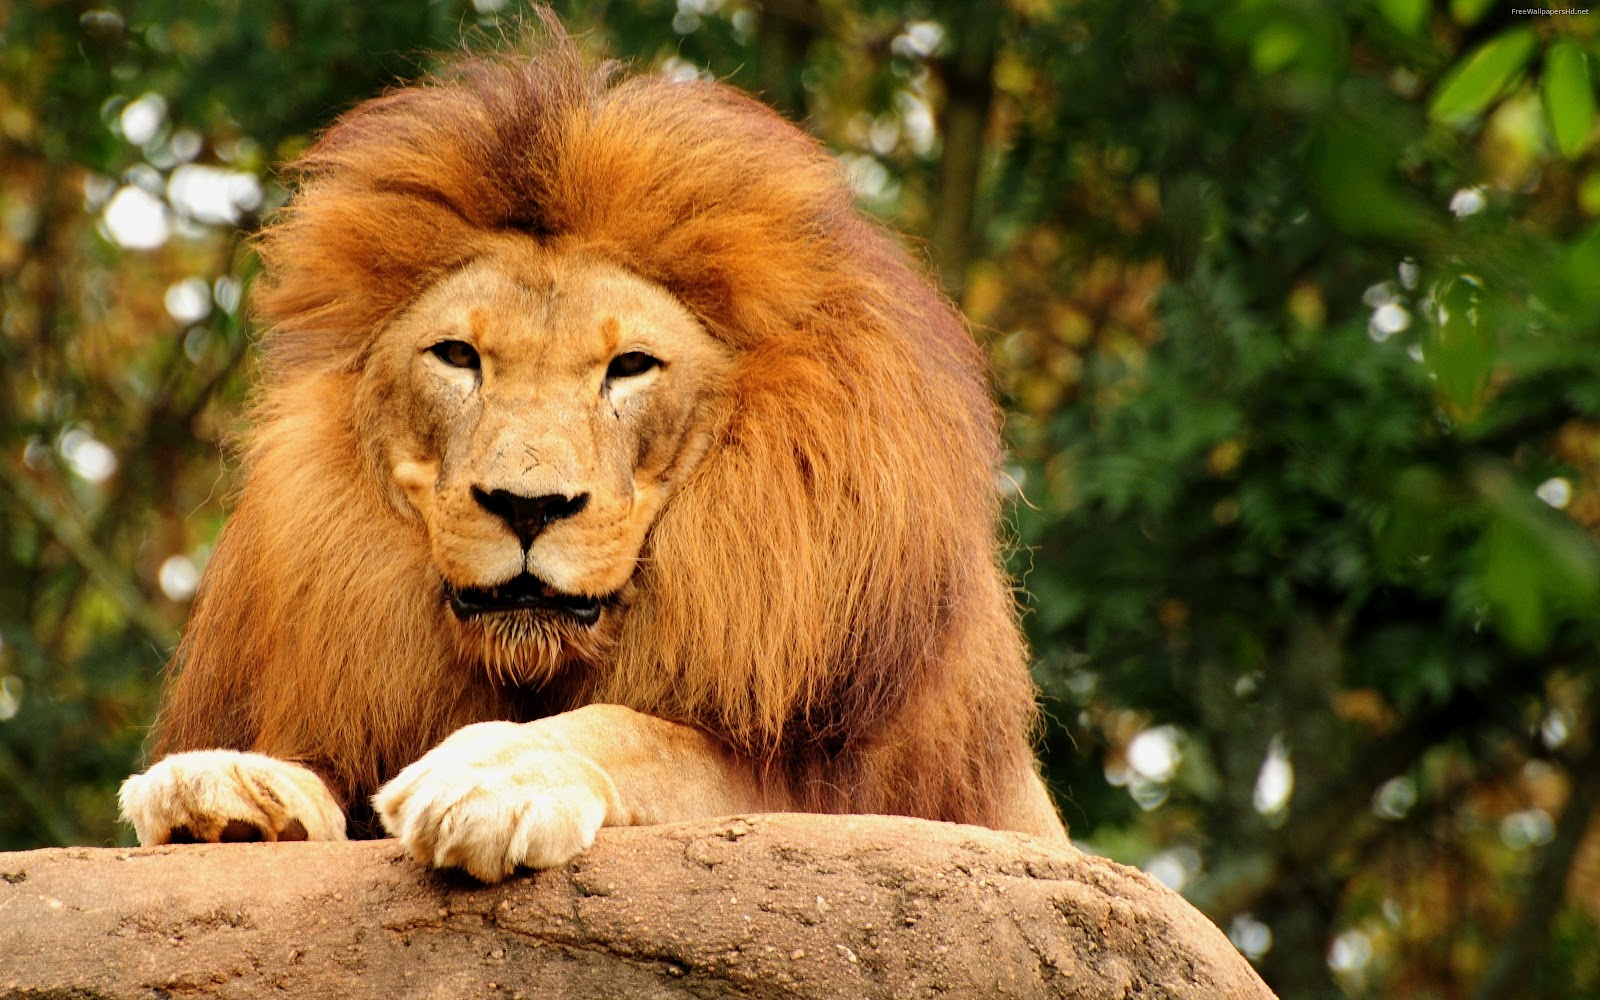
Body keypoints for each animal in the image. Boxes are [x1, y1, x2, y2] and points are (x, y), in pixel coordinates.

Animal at [118, 18, 1066, 882]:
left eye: (630, 366)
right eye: (457, 356)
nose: (528, 506)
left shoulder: (841, 785)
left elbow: (643, 734)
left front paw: (494, 774)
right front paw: (227, 787)